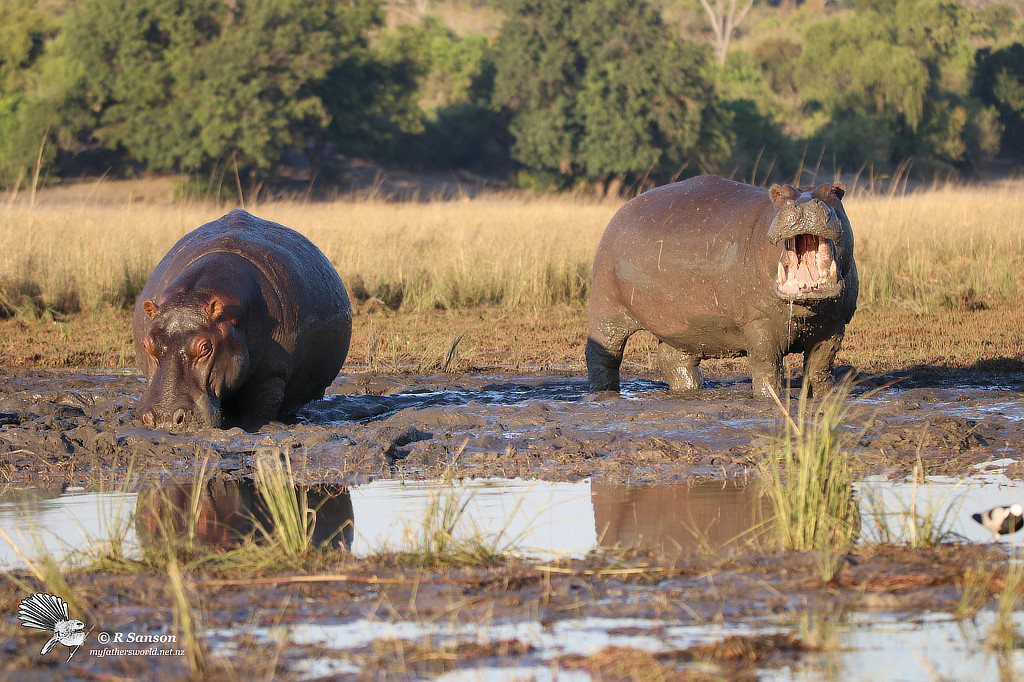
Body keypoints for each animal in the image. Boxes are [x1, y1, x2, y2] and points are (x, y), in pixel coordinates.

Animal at [132, 206, 352, 430]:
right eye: (147, 343)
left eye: (205, 347)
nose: (164, 419)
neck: (197, 294)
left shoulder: (272, 375)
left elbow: (259, 411)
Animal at [585, 174, 856, 399]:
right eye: (779, 194)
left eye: (835, 191)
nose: (805, 204)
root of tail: (622, 210)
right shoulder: (758, 323)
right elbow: (767, 364)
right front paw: (771, 398)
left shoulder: (835, 325)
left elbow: (821, 364)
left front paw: (827, 397)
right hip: (606, 304)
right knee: (603, 353)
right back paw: (604, 392)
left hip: (684, 328)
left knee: (673, 359)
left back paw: (690, 390)